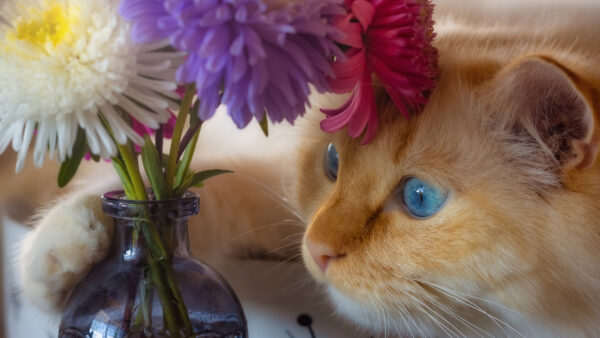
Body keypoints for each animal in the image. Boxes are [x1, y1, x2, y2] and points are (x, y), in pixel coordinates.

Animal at [16, 0, 600, 336]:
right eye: (333, 163)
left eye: (419, 199)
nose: (317, 252)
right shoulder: (267, 190)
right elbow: (170, 198)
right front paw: (62, 260)